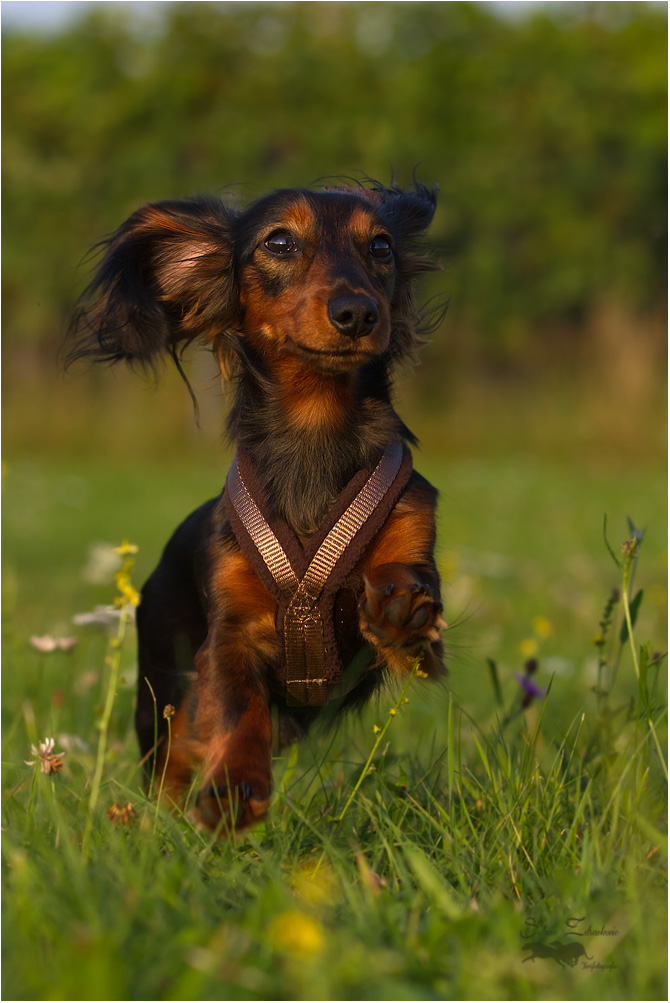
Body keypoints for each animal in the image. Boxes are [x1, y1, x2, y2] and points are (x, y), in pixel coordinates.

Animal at [68, 180, 447, 830]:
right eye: (279, 242)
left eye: (382, 245)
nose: (357, 313)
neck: (314, 432)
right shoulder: (231, 636)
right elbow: (238, 708)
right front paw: (234, 786)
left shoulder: (413, 544)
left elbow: (406, 586)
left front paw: (400, 606)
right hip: (161, 694)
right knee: (173, 758)